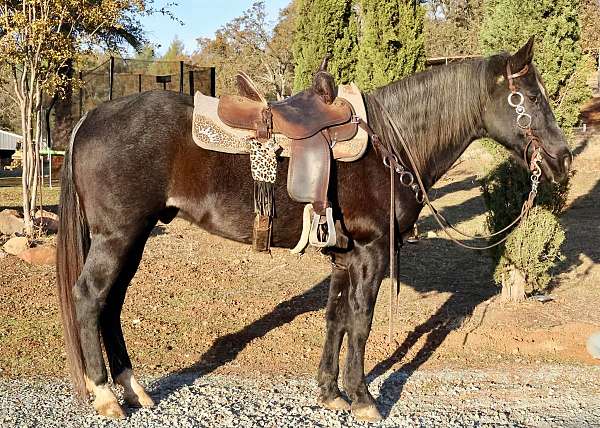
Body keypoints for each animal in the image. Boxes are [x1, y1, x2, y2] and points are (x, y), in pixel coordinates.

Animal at [56, 38, 572, 420]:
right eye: (528, 98)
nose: (563, 158)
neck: (391, 143)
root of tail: (91, 116)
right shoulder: (370, 251)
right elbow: (360, 322)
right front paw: (362, 398)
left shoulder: (344, 255)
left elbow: (335, 319)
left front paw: (330, 392)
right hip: (118, 236)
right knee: (90, 299)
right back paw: (105, 395)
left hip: (134, 236)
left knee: (111, 305)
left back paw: (133, 390)